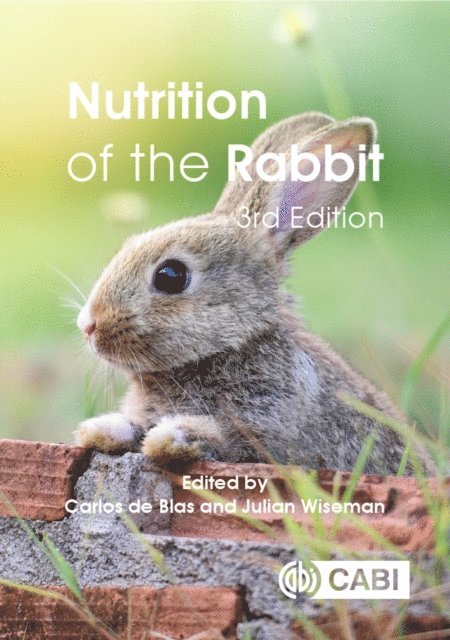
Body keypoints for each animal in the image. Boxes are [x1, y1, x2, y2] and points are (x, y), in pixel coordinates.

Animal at [75, 112, 432, 475]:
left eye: (171, 276)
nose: (88, 325)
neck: (231, 346)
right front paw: (101, 429)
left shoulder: (265, 427)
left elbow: (222, 437)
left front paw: (171, 437)